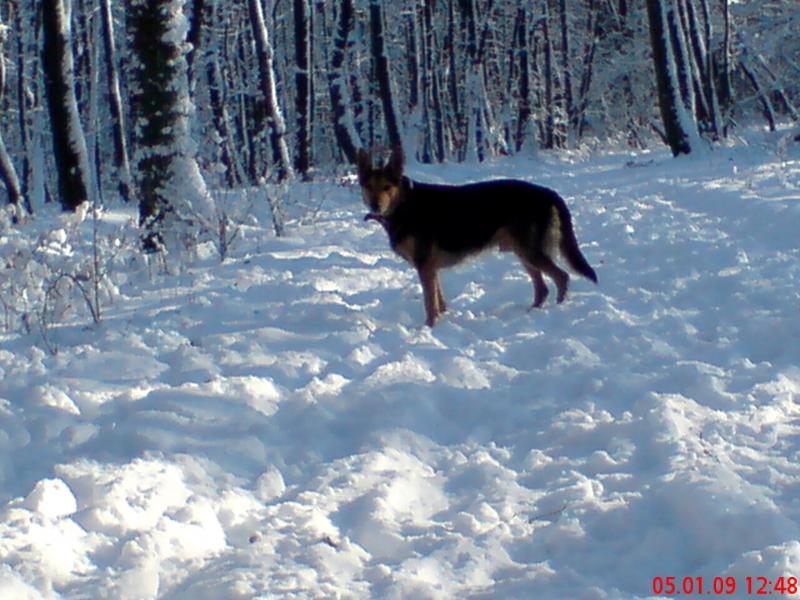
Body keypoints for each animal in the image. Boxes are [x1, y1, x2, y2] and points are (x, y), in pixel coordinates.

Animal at [360, 147, 596, 326]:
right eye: (368, 187)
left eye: (386, 187)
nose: (375, 205)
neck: (405, 204)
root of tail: (548, 192)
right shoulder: (430, 269)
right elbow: (439, 300)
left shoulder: (425, 266)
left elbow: (430, 304)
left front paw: (429, 329)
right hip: (523, 253)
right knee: (543, 288)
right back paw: (532, 312)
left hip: (530, 252)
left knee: (561, 277)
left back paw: (557, 311)